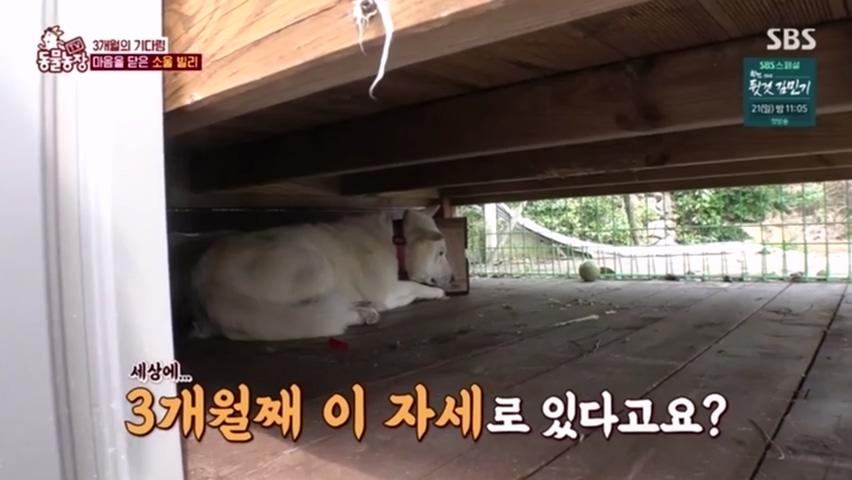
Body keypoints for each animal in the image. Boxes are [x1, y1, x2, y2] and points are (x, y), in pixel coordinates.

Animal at [189, 206, 455, 341]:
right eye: (441, 253)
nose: (453, 278)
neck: (395, 238)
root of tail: (209, 283)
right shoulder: (386, 292)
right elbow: (416, 286)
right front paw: (437, 292)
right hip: (315, 264)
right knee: (322, 311)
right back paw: (361, 313)